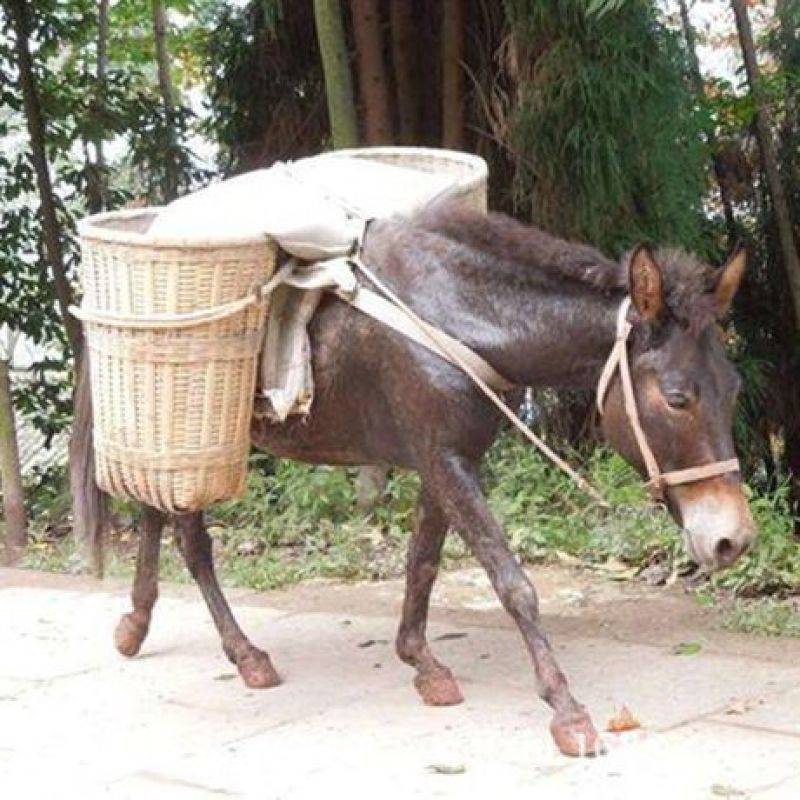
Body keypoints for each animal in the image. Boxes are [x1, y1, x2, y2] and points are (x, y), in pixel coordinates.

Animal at [71, 202, 756, 758]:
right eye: (677, 398)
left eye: (733, 387)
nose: (734, 540)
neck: (459, 316)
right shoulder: (445, 461)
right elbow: (513, 584)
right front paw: (567, 712)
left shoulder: (444, 461)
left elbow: (422, 563)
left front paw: (422, 664)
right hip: (192, 441)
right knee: (191, 541)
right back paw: (245, 656)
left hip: (174, 445)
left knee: (155, 513)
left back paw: (135, 625)